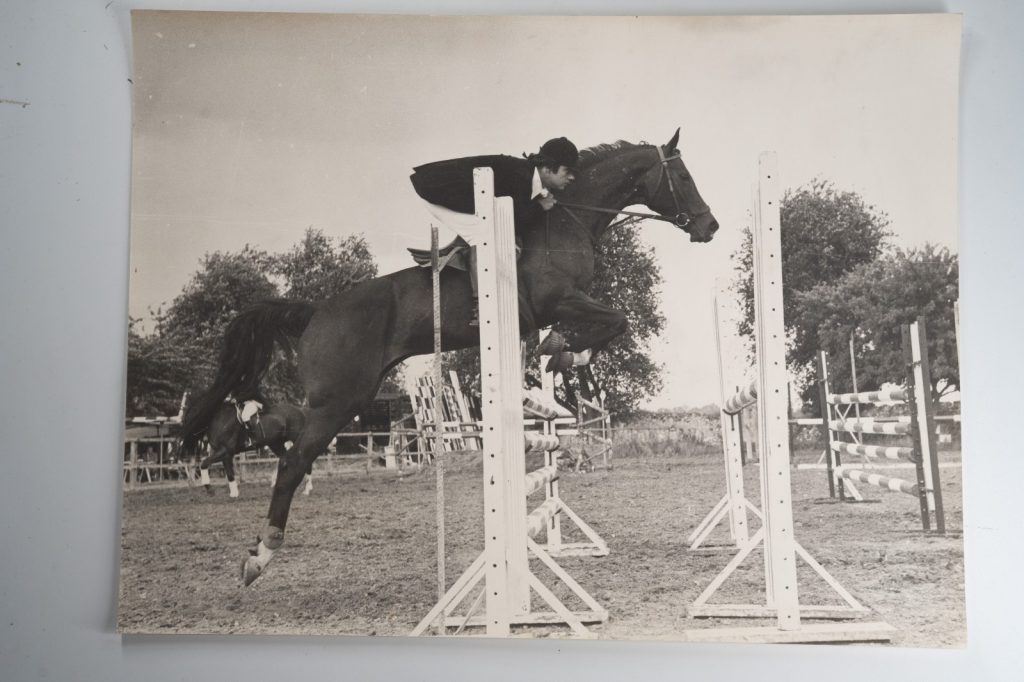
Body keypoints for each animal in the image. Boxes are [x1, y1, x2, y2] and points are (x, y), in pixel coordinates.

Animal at [180, 128, 718, 585]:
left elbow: (609, 326)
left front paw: (563, 357)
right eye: (684, 178)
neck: (565, 217)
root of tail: (316, 311)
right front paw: (565, 353)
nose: (710, 226)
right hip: (338, 401)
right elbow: (616, 320)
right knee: (291, 463)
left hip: (348, 399)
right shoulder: (558, 300)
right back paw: (260, 555)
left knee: (285, 454)